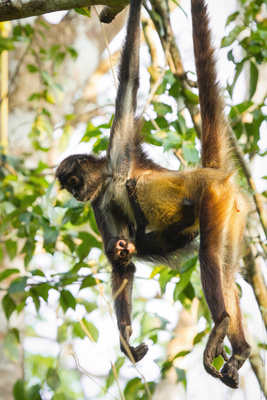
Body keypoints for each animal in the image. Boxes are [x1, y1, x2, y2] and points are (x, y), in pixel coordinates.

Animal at [56, 0, 251, 390]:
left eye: (72, 181)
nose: (74, 194)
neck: (111, 178)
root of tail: (209, 173)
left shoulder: (121, 145)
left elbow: (129, 76)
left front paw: (133, 9)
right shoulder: (99, 202)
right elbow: (121, 261)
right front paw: (127, 342)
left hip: (214, 197)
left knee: (209, 256)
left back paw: (222, 323)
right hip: (233, 210)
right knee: (224, 270)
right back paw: (240, 350)